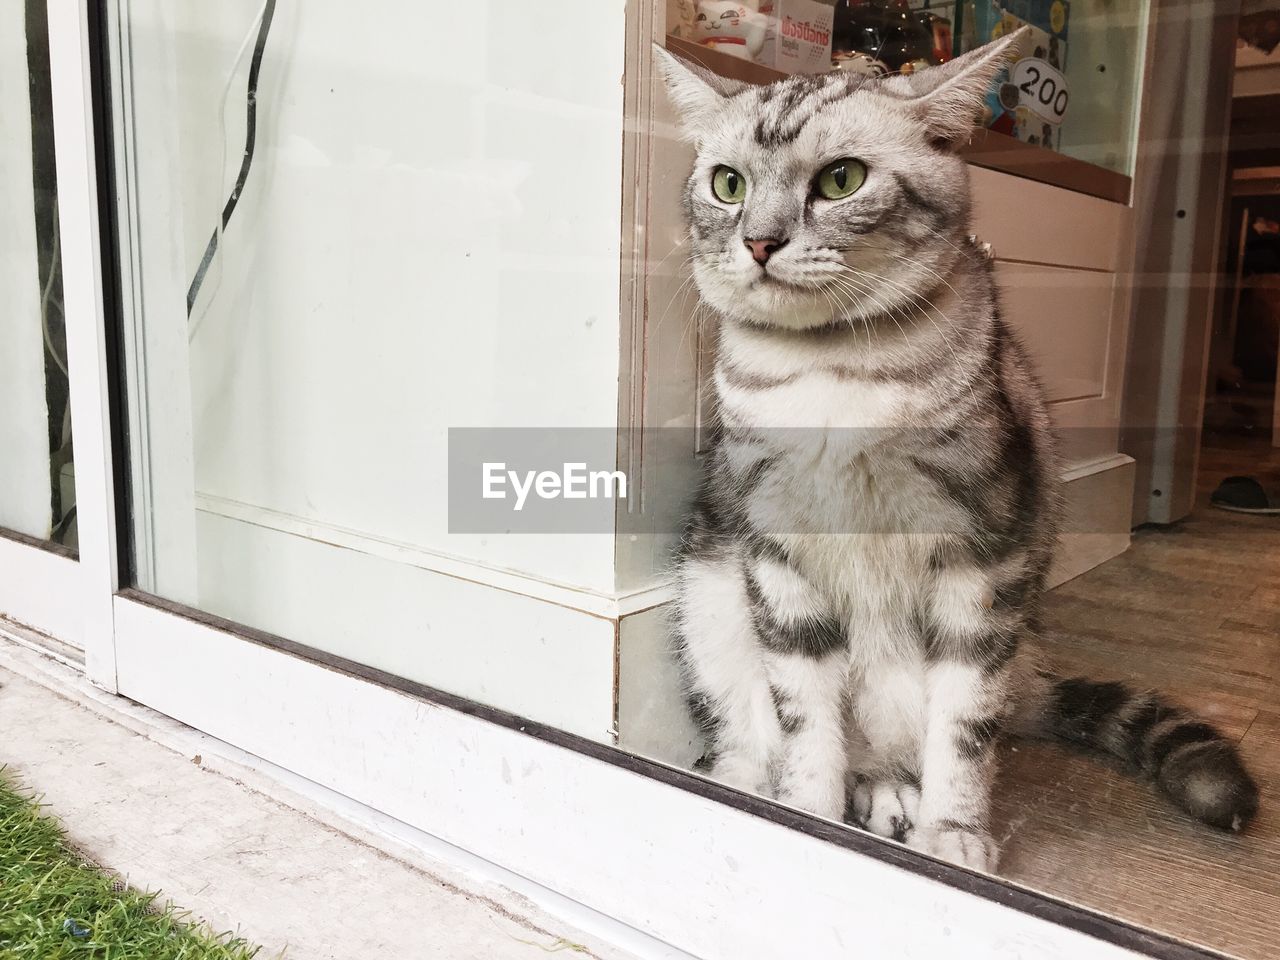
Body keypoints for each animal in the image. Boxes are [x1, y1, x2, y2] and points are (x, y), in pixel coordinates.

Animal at [660, 30, 1259, 870]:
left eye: (840, 179)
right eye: (727, 183)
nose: (759, 241)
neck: (829, 374)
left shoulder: (984, 558)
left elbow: (964, 726)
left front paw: (954, 831)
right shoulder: (777, 554)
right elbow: (805, 715)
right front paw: (804, 812)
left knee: (925, 732)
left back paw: (893, 793)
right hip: (713, 600)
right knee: (758, 728)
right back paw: (758, 783)